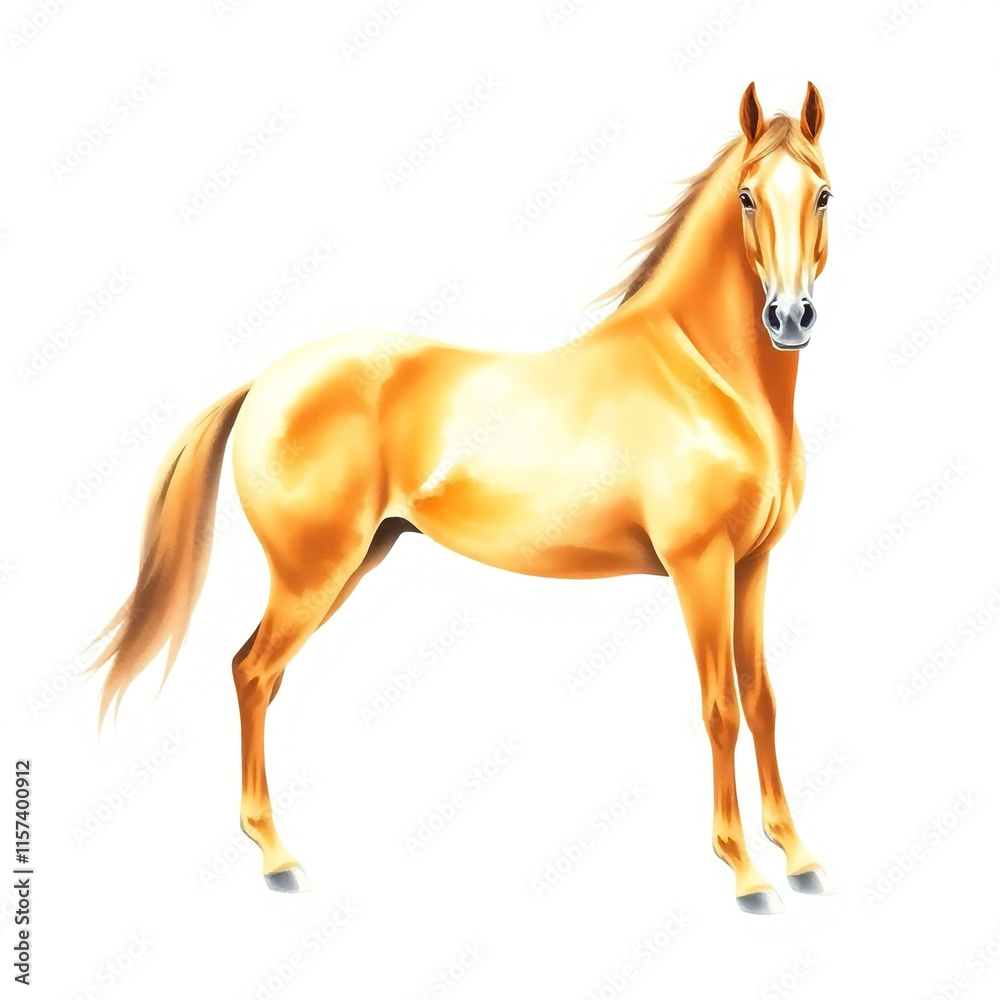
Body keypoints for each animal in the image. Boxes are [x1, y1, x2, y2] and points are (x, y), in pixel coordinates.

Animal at [90, 82, 833, 914]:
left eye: (824, 193)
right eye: (747, 196)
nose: (790, 318)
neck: (705, 375)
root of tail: (264, 383)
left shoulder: (753, 564)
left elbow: (762, 700)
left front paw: (800, 857)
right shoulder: (698, 566)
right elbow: (721, 709)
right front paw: (745, 874)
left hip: (351, 565)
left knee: (264, 677)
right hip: (312, 572)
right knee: (251, 673)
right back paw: (277, 859)